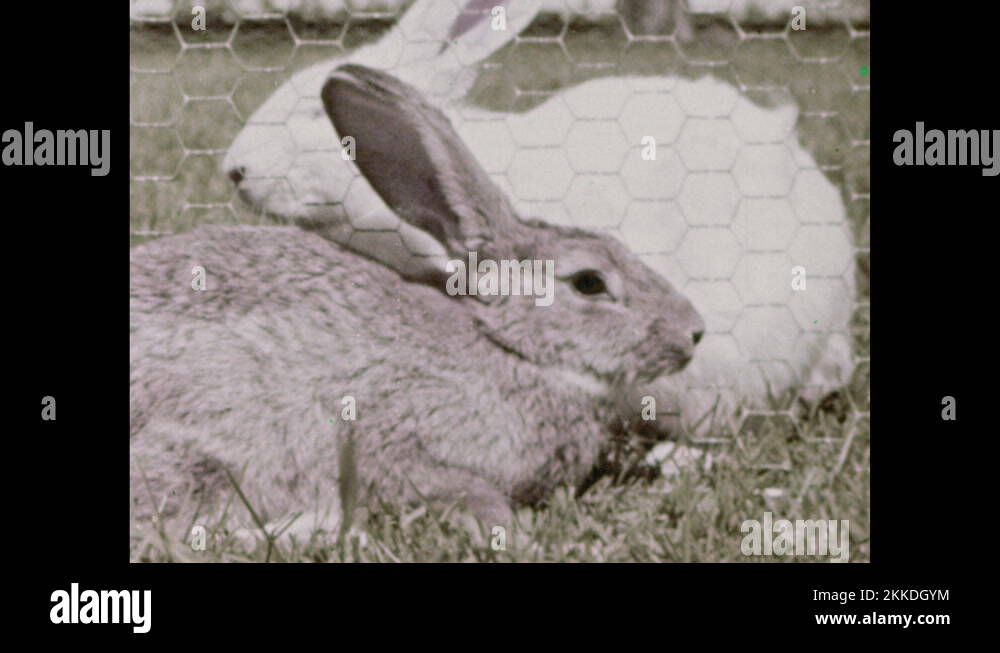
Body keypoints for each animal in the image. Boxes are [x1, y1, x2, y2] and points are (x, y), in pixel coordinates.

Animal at [130, 64, 705, 544]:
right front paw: (519, 538)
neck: (507, 347)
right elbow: (461, 489)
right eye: (589, 283)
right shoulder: (391, 442)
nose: (693, 331)